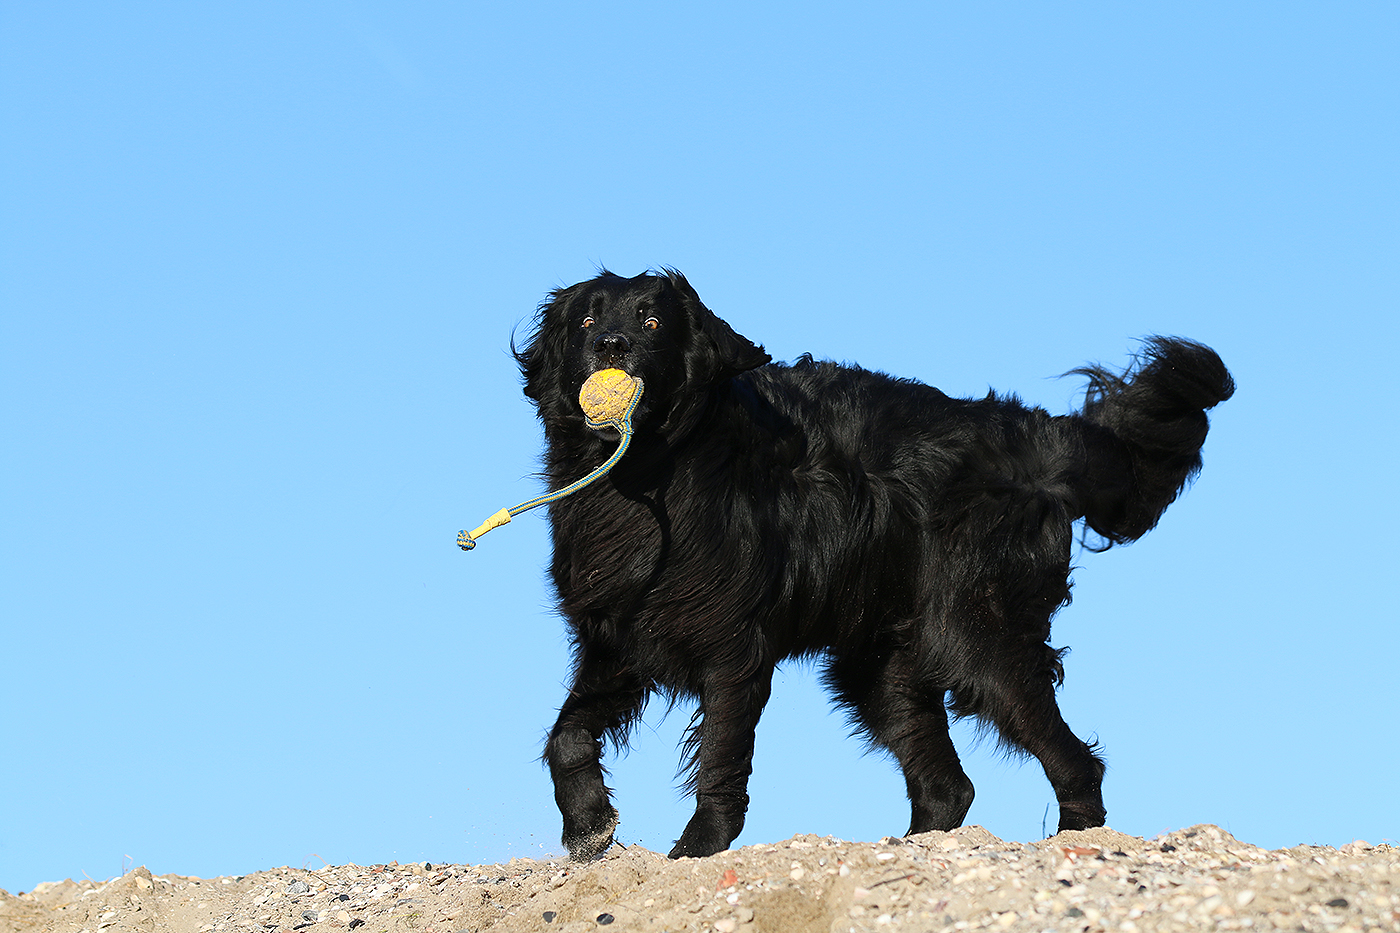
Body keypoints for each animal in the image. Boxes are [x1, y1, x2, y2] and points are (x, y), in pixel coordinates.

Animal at [511, 269, 1233, 860]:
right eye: (586, 320)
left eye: (652, 322)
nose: (611, 346)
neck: (648, 474)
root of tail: (1034, 437)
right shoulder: (616, 640)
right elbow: (566, 737)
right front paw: (590, 826)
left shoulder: (733, 647)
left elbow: (720, 754)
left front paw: (697, 847)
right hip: (882, 663)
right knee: (948, 785)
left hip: (975, 640)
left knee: (1073, 759)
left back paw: (1074, 842)